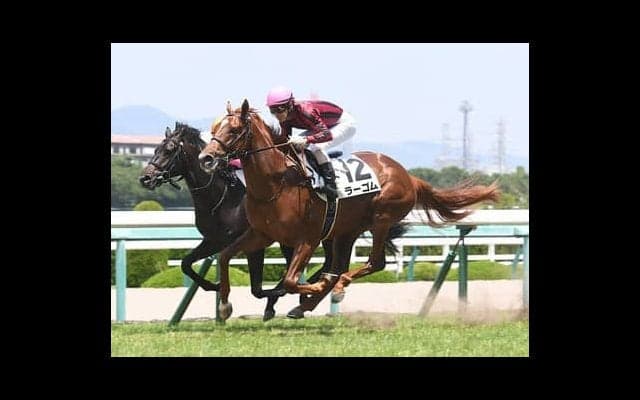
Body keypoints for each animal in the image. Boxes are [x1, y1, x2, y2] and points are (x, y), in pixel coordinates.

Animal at [139, 122, 337, 321]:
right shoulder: (215, 240)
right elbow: (186, 263)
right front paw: (216, 286)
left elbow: (257, 289)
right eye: (155, 149)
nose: (145, 178)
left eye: (169, 150)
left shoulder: (255, 242)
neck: (224, 197)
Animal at [197, 100, 500, 320]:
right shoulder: (262, 234)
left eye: (233, 130)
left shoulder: (308, 238)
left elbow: (292, 279)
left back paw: (334, 288)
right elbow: (225, 256)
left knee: (372, 263)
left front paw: (312, 287)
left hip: (381, 219)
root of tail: (408, 175)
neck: (277, 182)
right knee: (340, 265)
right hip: (345, 230)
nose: (206, 158)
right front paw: (224, 306)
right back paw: (307, 304)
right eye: (214, 130)